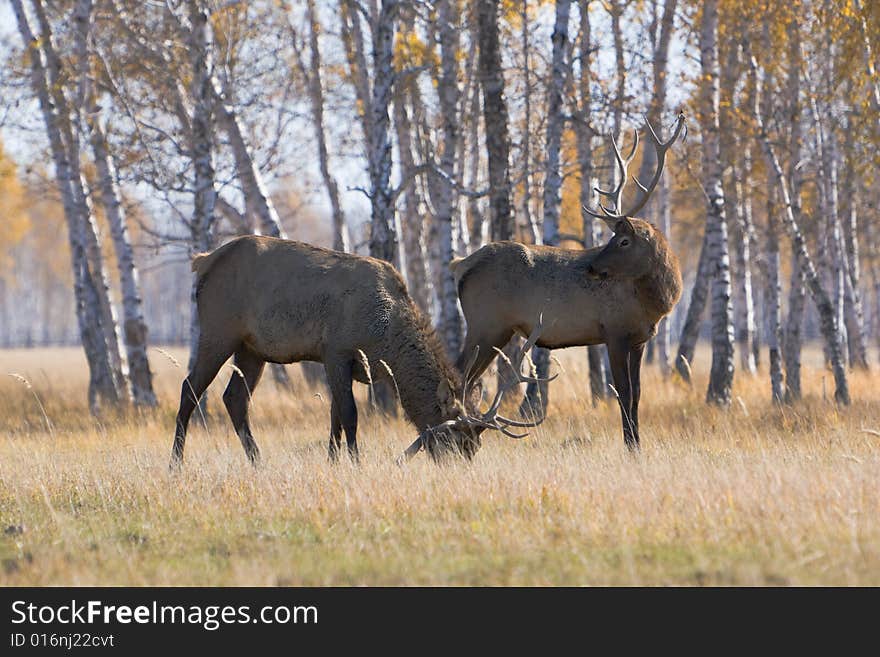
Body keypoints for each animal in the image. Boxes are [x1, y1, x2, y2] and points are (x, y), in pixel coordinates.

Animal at [170, 233, 552, 464]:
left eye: (475, 446)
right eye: (454, 440)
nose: (460, 468)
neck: (384, 341)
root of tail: (203, 261)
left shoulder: (349, 365)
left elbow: (335, 417)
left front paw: (333, 462)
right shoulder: (336, 350)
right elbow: (350, 415)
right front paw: (354, 462)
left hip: (253, 348)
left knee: (235, 398)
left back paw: (257, 461)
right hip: (219, 329)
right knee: (190, 388)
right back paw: (176, 463)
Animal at [446, 114, 688, 452]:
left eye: (623, 241)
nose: (592, 266)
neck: (655, 303)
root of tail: (460, 266)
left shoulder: (640, 339)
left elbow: (638, 394)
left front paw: (637, 443)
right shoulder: (614, 331)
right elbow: (623, 393)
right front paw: (630, 446)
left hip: (494, 328)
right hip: (486, 323)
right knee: (459, 375)